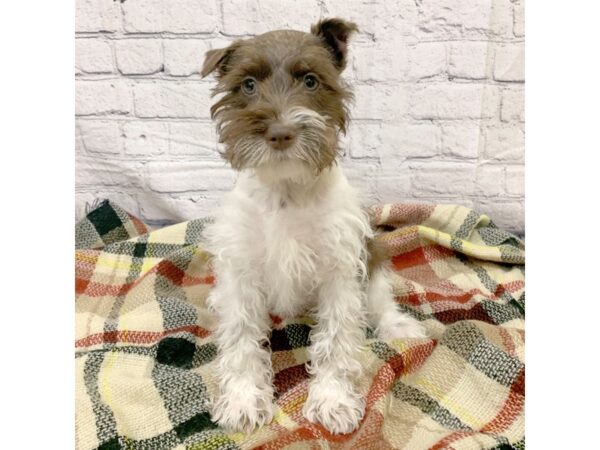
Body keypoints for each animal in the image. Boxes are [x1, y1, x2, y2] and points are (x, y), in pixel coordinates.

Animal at [202, 18, 426, 436]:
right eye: (248, 85)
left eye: (310, 80)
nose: (281, 132)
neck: (287, 189)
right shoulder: (240, 269)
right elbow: (241, 337)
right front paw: (243, 399)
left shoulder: (340, 270)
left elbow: (335, 340)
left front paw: (332, 401)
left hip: (373, 255)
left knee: (380, 300)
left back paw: (398, 326)